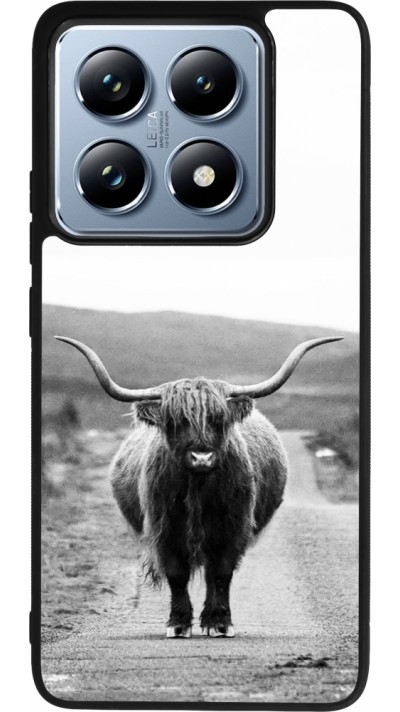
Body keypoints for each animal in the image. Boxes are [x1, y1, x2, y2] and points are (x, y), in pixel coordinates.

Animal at [55, 334, 341, 638]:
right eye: (175, 421)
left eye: (218, 419)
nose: (201, 457)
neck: (198, 488)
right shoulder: (164, 528)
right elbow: (176, 573)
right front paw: (178, 623)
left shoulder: (233, 527)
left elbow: (221, 573)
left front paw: (220, 622)